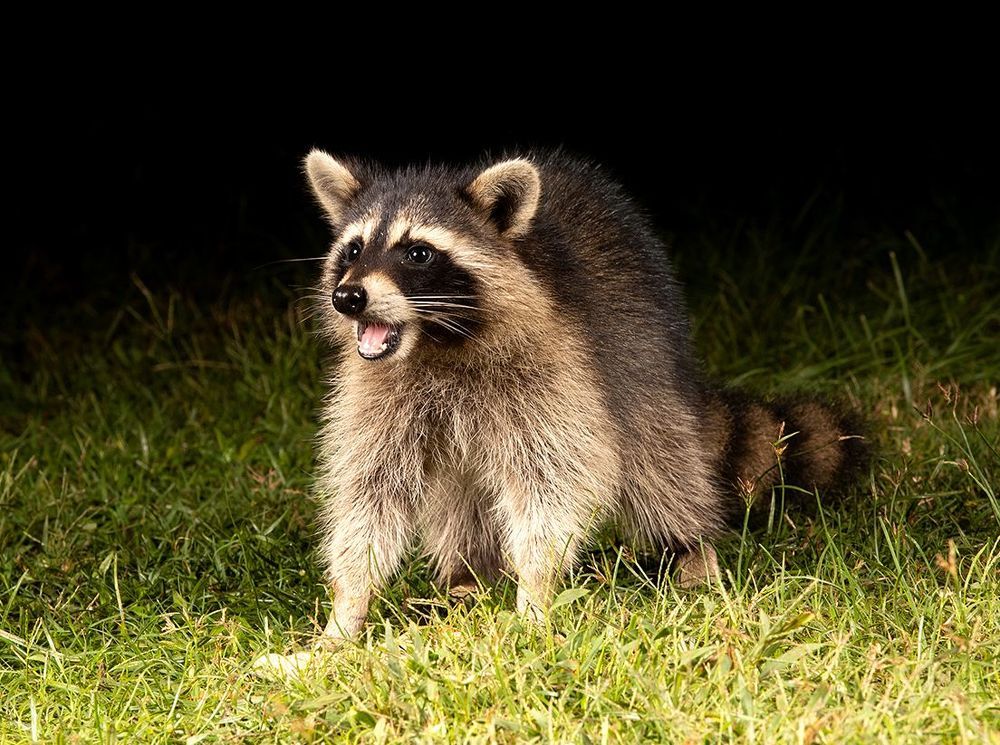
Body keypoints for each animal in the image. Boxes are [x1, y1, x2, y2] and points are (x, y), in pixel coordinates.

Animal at [301, 149, 866, 643]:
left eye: (418, 252)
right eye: (353, 249)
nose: (348, 297)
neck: (436, 342)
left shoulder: (554, 370)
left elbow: (554, 483)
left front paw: (534, 591)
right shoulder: (379, 394)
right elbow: (369, 492)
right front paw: (347, 607)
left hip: (644, 362)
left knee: (661, 464)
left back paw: (689, 547)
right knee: (460, 496)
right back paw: (469, 578)